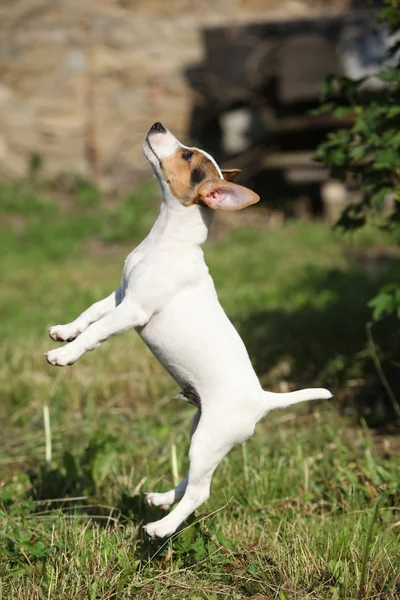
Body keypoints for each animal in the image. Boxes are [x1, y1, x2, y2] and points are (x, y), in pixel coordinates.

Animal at [45, 122, 332, 540]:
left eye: (185, 155)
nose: (157, 125)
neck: (165, 240)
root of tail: (263, 400)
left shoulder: (133, 310)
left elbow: (97, 333)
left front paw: (65, 354)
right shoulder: (120, 296)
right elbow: (90, 314)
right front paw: (64, 332)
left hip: (210, 439)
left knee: (200, 493)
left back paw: (161, 527)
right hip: (201, 436)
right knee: (193, 482)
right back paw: (163, 499)